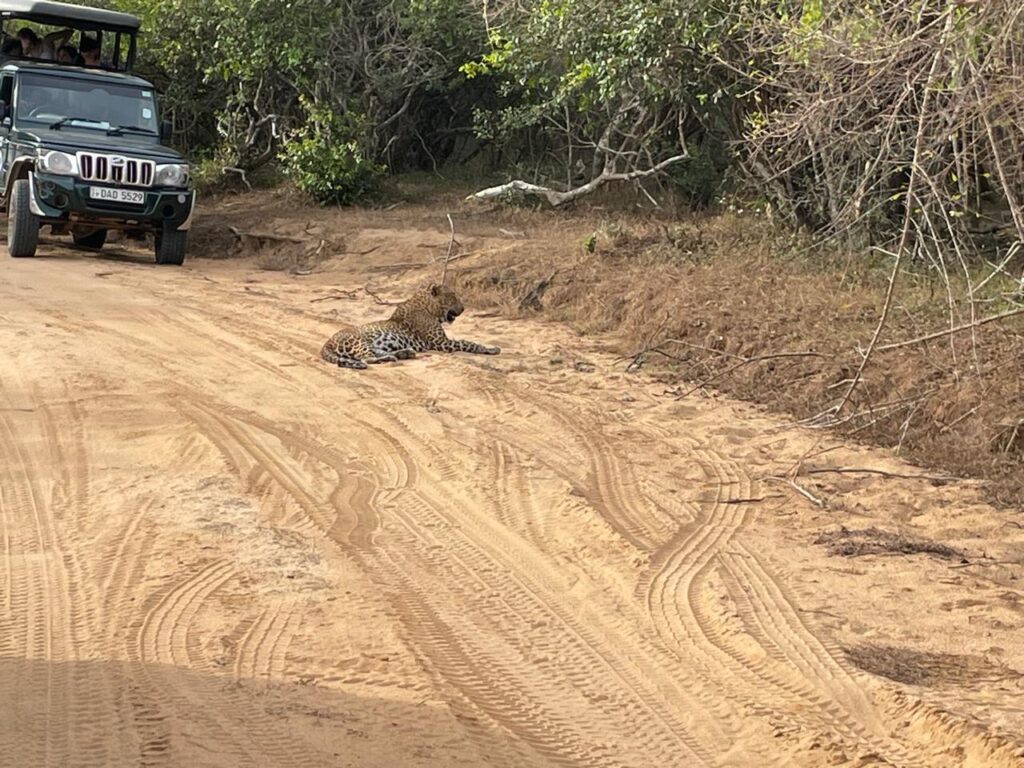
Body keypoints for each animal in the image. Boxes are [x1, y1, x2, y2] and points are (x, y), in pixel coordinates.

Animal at [320, 283, 501, 370]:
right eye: (452, 296)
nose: (463, 308)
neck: (429, 307)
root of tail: (326, 343)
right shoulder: (440, 342)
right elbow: (468, 343)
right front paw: (491, 349)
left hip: (371, 344)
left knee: (376, 352)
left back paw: (403, 353)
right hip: (359, 342)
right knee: (366, 358)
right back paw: (392, 357)